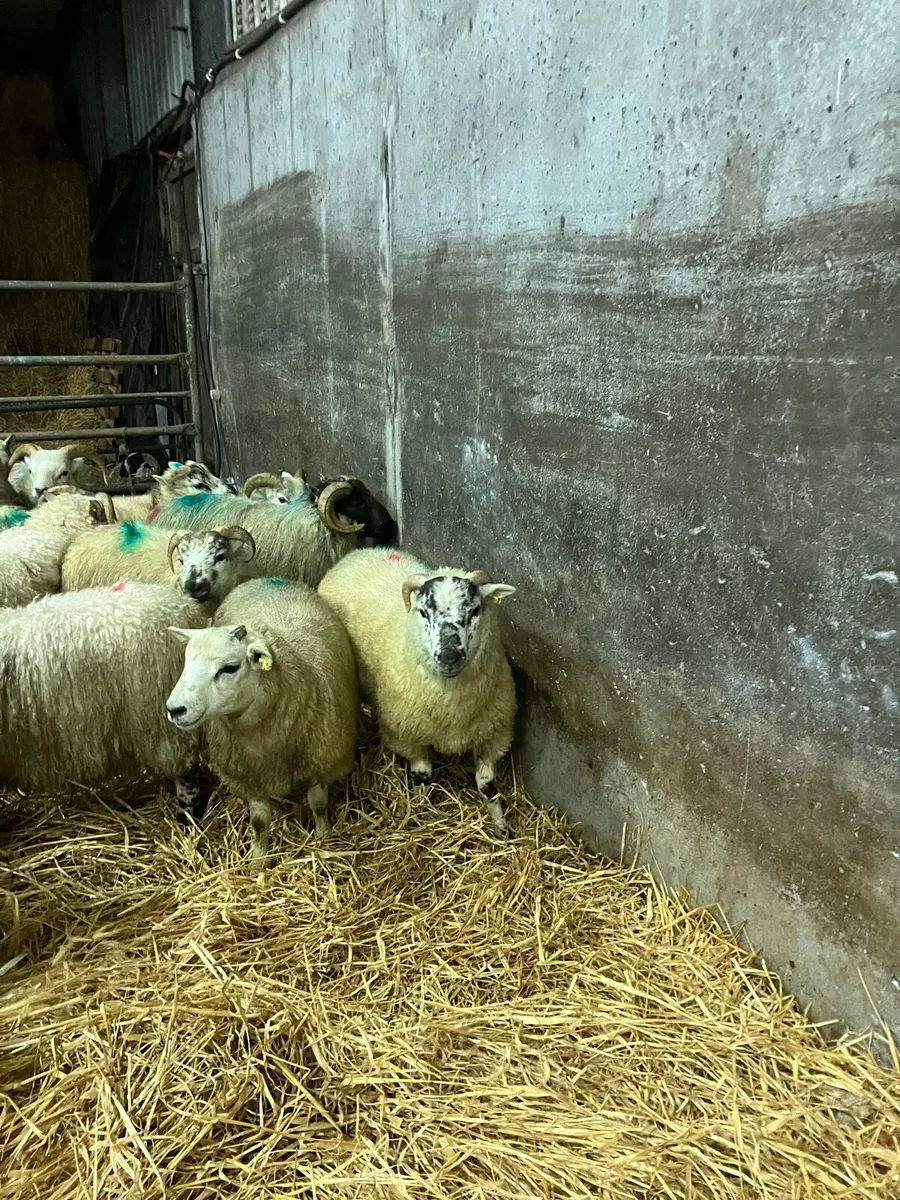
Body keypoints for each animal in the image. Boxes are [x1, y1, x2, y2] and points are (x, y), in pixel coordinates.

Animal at [166, 577, 359, 868]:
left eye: (230, 667)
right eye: (186, 661)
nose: (175, 709)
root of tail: (267, 578)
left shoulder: (320, 762)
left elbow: (318, 805)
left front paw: (323, 839)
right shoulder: (248, 777)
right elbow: (259, 822)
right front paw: (258, 860)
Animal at [318, 548, 517, 832]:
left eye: (475, 609)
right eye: (422, 612)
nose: (449, 656)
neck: (452, 706)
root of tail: (362, 551)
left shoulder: (493, 735)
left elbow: (488, 785)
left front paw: (501, 827)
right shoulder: (407, 736)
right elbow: (423, 776)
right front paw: (422, 812)